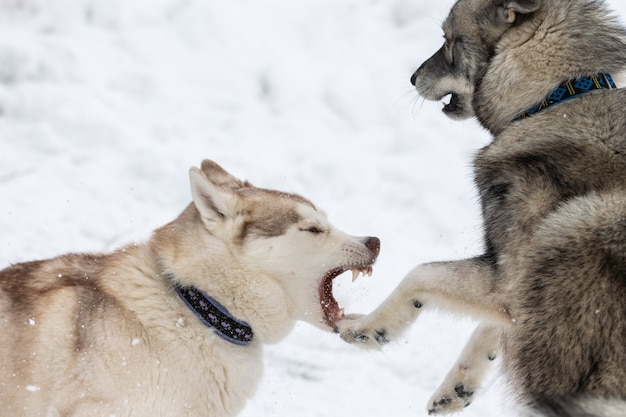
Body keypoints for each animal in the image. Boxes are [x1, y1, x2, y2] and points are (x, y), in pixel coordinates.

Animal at [336, 0, 624, 414]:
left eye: (448, 40)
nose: (412, 78)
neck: (557, 98)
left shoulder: (509, 278)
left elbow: (419, 275)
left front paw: (369, 330)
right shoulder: (513, 294)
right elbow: (488, 330)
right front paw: (457, 388)